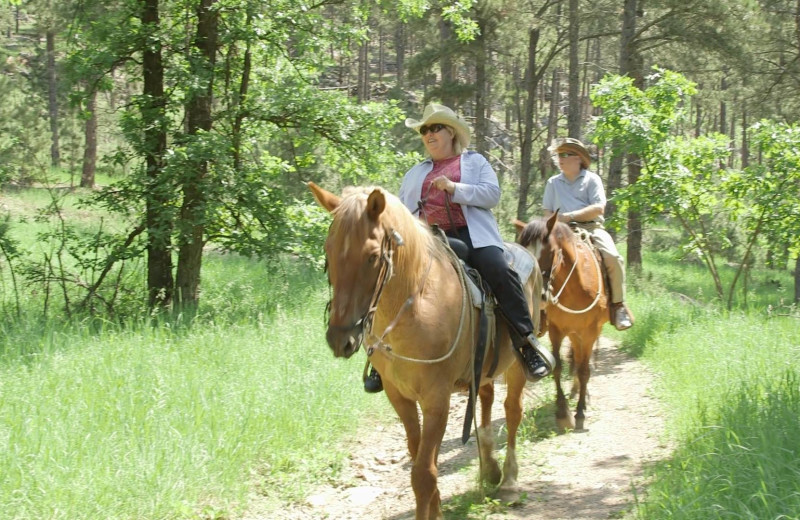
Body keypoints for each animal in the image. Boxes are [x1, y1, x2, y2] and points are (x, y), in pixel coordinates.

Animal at [308, 183, 544, 520]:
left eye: (372, 257)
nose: (341, 339)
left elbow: (423, 474)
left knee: (513, 411)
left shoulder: (436, 400)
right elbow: (420, 461)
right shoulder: (400, 397)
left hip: (516, 365)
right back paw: (489, 470)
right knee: (486, 400)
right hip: (485, 368)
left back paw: (509, 481)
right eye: (328, 253)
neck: (416, 305)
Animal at [516, 213, 608, 432]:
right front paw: (562, 412)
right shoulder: (556, 331)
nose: (540, 295)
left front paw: (580, 412)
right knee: (576, 357)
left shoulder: (589, 332)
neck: (575, 287)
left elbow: (584, 370)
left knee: (584, 362)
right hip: (574, 333)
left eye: (550, 253)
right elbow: (558, 366)